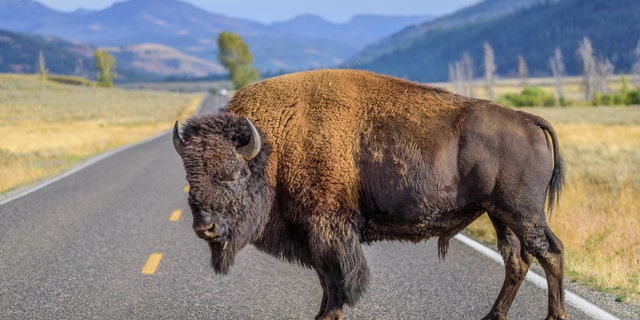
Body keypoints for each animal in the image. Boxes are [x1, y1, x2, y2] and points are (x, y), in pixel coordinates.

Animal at [172, 69, 568, 320]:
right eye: (190, 175)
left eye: (231, 174)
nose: (205, 227)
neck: (275, 145)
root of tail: (528, 119)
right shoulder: (314, 233)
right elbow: (327, 277)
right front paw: (324, 312)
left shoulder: (328, 226)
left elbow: (338, 276)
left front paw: (328, 314)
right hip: (500, 215)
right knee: (517, 260)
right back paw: (492, 315)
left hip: (522, 213)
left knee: (549, 252)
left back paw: (554, 315)